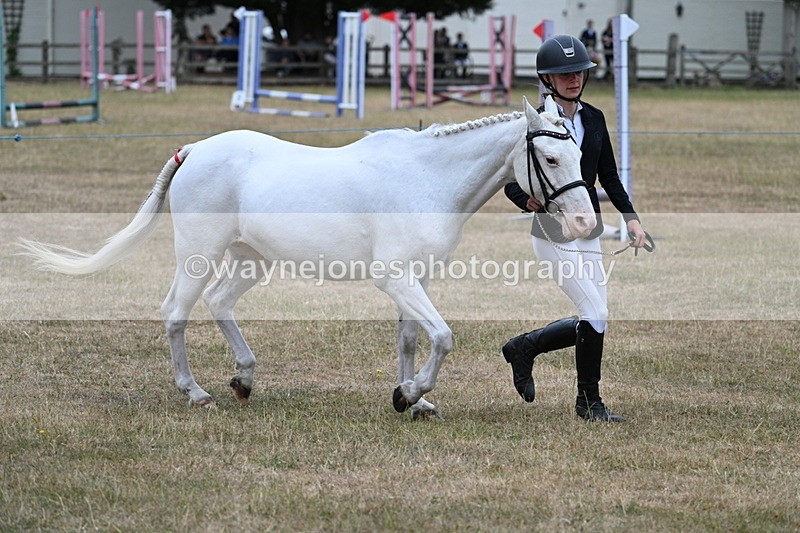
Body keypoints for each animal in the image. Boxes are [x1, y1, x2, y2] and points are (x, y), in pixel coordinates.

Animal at [18, 95, 596, 419]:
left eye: (578, 152)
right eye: (549, 157)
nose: (585, 224)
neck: (426, 179)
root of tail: (196, 150)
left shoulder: (418, 279)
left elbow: (413, 339)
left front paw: (412, 398)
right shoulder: (395, 279)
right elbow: (444, 337)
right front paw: (411, 395)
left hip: (250, 259)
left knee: (219, 303)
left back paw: (244, 380)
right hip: (200, 253)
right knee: (176, 312)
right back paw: (196, 393)